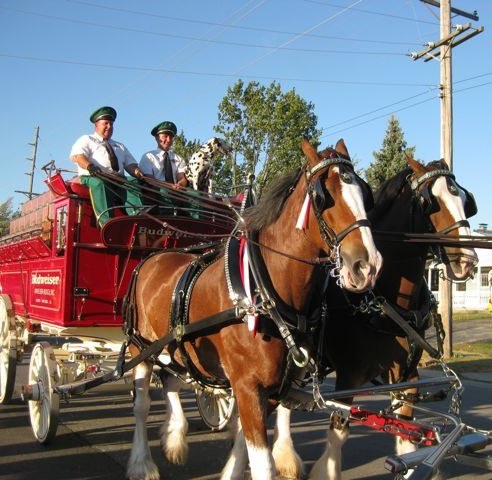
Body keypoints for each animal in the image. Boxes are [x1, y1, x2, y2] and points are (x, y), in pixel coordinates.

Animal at [123, 137, 380, 478]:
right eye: (322, 197)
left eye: (365, 193)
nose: (368, 266)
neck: (264, 293)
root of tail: (151, 258)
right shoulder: (247, 387)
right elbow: (261, 463)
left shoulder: (270, 390)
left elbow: (243, 444)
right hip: (142, 348)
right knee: (141, 405)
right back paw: (141, 463)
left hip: (175, 348)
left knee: (172, 382)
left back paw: (174, 435)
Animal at [270, 156, 478, 478]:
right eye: (431, 202)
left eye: (466, 201)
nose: (467, 261)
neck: (382, 299)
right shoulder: (349, 376)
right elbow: (338, 432)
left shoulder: (407, 378)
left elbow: (406, 432)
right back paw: (285, 458)